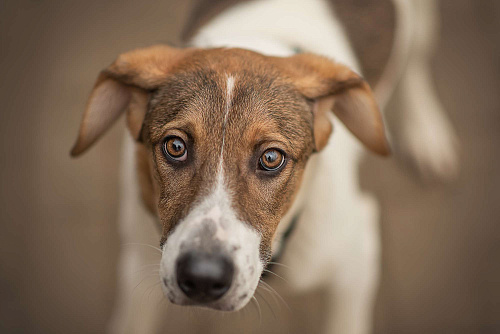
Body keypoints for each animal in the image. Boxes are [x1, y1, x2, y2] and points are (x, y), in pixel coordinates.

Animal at [72, 0, 458, 334]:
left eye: (271, 158)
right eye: (175, 147)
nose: (203, 278)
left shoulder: (357, 257)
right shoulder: (138, 261)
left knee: (416, 55)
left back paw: (426, 132)